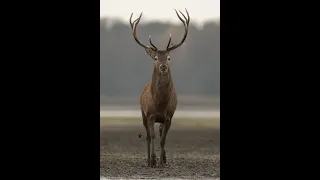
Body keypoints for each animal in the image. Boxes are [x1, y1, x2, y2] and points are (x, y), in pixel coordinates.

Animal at [129, 9, 190, 168]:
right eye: (156, 58)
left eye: (168, 57)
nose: (163, 67)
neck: (160, 103)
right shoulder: (150, 114)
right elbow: (152, 136)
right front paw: (153, 160)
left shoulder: (169, 116)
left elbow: (163, 139)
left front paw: (162, 161)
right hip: (142, 113)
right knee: (147, 136)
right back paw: (148, 160)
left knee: (161, 132)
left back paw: (163, 158)